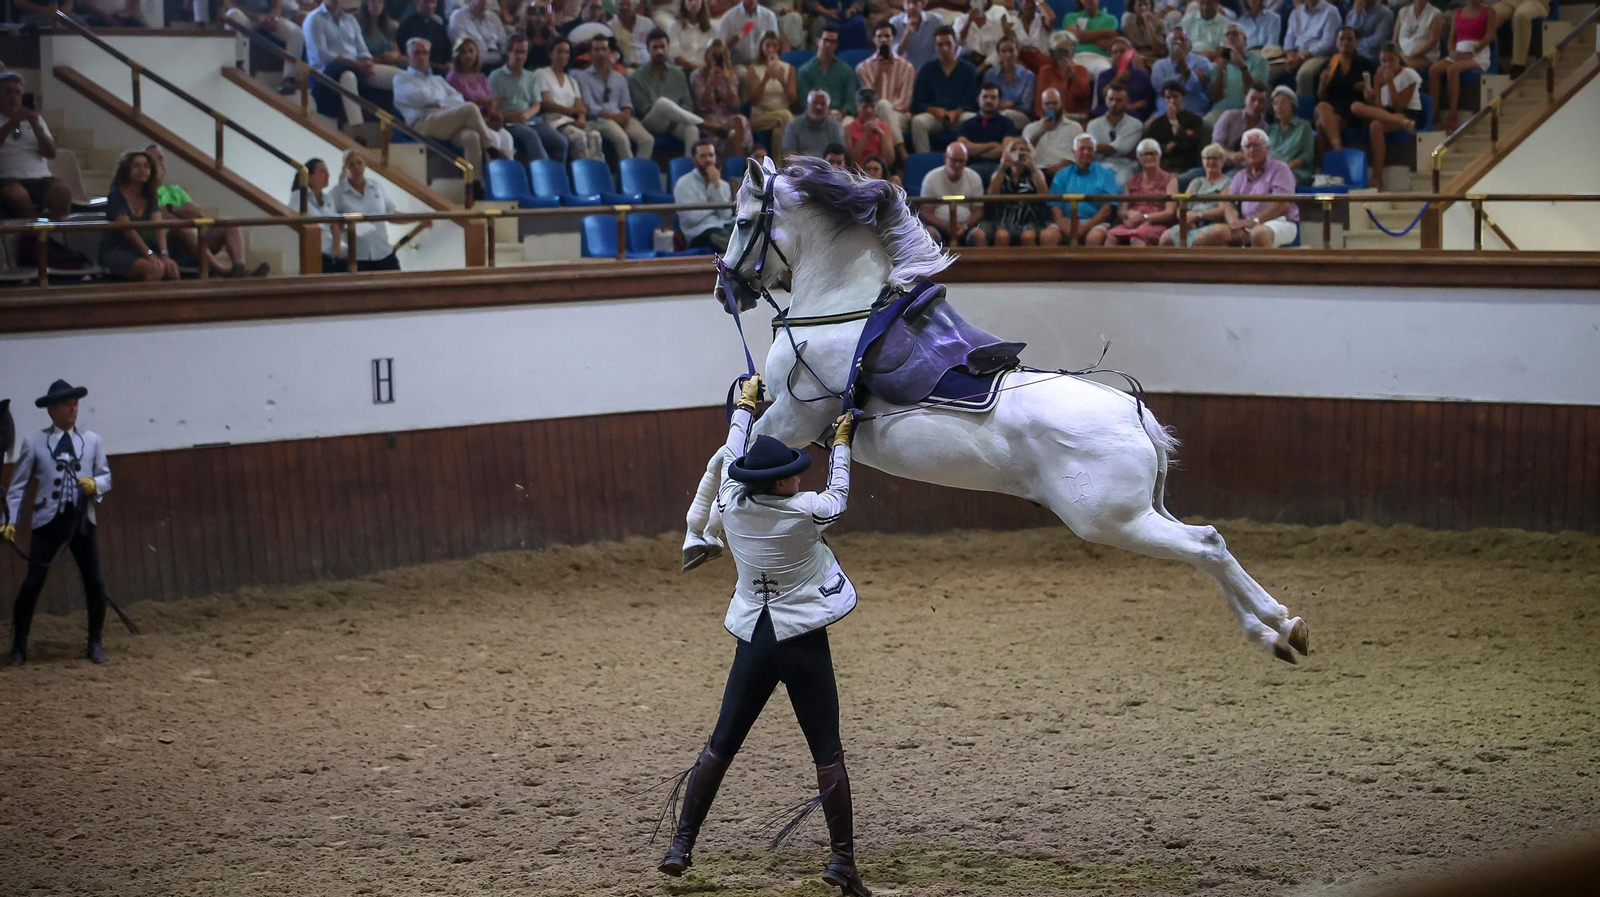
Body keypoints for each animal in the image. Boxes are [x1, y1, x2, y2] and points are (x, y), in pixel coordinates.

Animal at [682, 156, 1308, 663]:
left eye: (742, 222)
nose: (723, 289)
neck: (842, 312)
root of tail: (1135, 415)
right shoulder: (795, 424)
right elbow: (726, 456)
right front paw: (705, 534)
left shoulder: (796, 415)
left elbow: (723, 457)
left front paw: (702, 537)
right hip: (1142, 512)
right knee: (1207, 546)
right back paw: (1273, 634)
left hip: (1112, 520)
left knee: (1207, 544)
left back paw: (1280, 623)